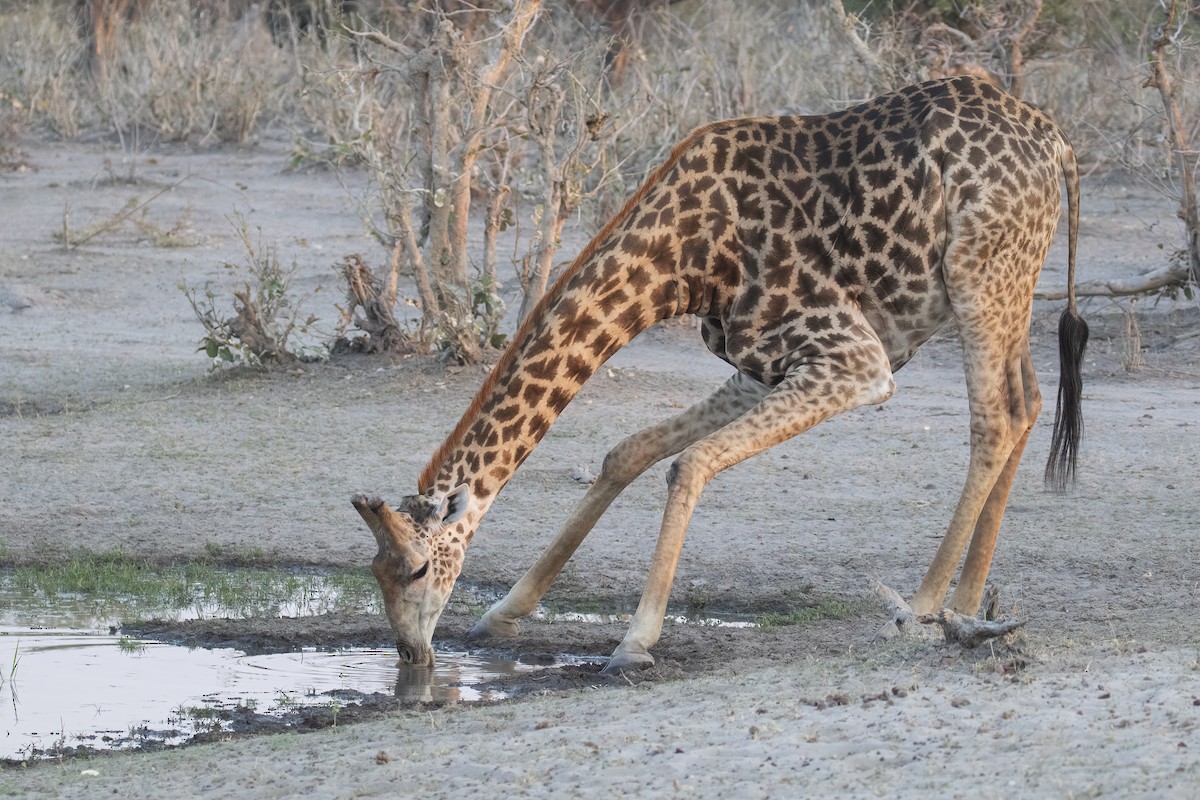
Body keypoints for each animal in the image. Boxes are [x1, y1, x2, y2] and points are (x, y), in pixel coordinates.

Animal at [353, 76, 1087, 674]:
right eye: (375, 573)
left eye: (418, 569)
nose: (410, 653)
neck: (683, 260)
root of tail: (1057, 143)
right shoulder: (759, 365)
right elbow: (630, 452)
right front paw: (505, 612)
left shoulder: (853, 359)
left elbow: (690, 463)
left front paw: (634, 641)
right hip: (1007, 280)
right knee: (1026, 401)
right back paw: (969, 605)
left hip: (980, 273)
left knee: (994, 417)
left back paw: (921, 609)